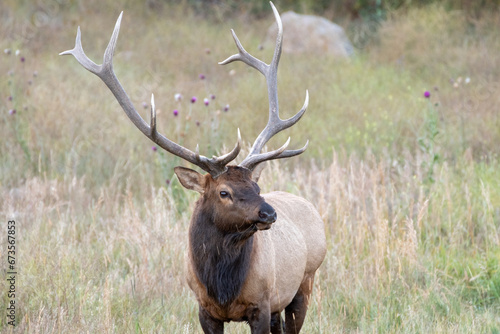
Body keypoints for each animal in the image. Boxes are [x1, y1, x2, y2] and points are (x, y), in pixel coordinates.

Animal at [60, 1, 326, 332]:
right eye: (224, 192)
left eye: (256, 186)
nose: (269, 213)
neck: (222, 287)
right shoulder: (204, 308)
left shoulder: (262, 304)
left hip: (304, 282)